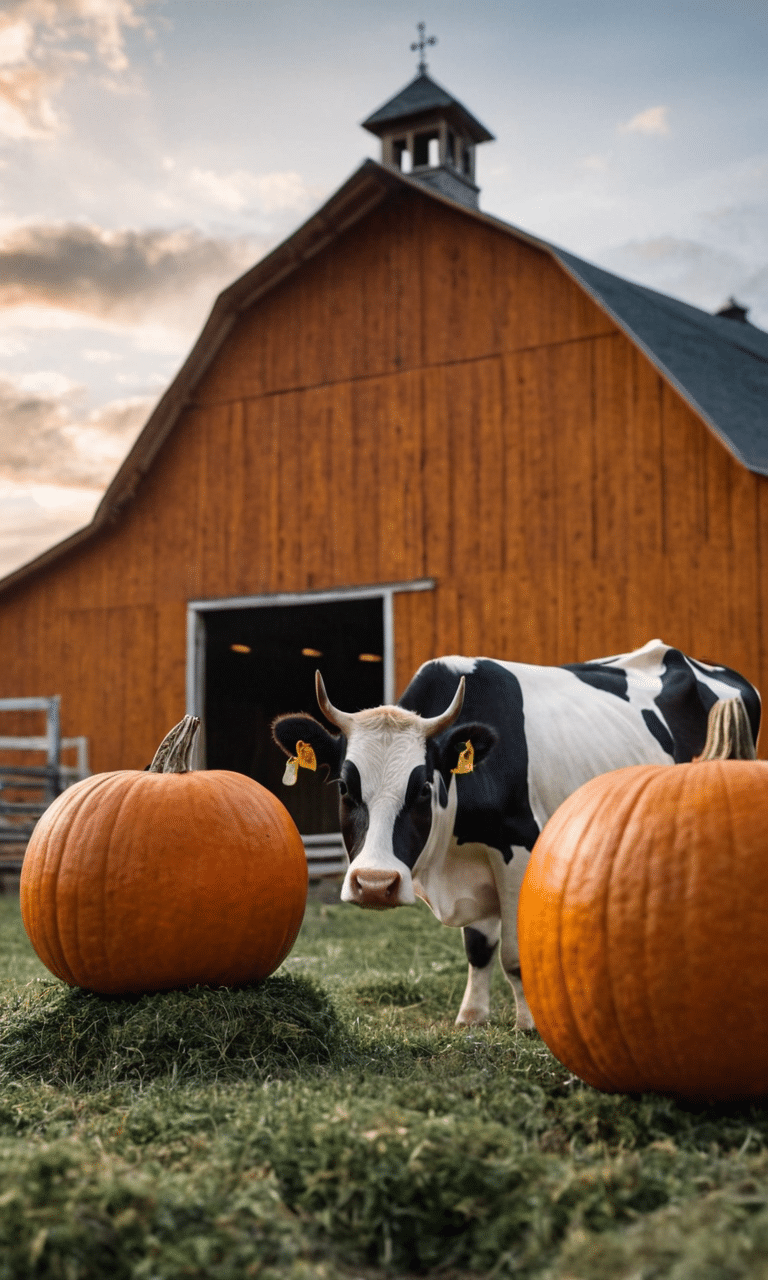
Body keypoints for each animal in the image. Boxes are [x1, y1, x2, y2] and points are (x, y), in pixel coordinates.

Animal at [272, 640, 757, 1029]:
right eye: (344, 787)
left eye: (423, 787)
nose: (374, 884)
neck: (449, 858)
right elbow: (479, 947)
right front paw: (472, 1016)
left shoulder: (517, 849)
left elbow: (513, 955)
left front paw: (528, 1025)